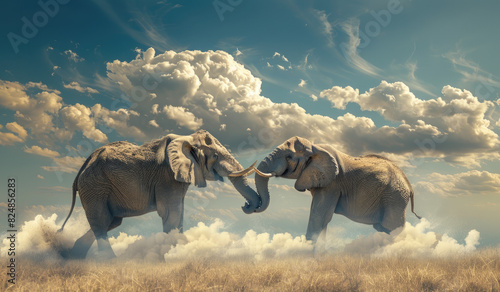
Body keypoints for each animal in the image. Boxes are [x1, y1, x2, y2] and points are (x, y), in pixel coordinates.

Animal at [59, 130, 258, 258]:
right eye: (215, 156)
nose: (247, 205)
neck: (187, 138)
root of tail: (84, 165)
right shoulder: (166, 177)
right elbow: (171, 213)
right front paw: (168, 260)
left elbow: (178, 214)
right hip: (95, 186)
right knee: (101, 221)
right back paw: (110, 261)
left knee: (110, 221)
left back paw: (72, 256)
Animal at [252, 137, 420, 242]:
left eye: (289, 157)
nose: (249, 206)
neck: (315, 147)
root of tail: (409, 186)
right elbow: (322, 218)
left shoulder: (332, 185)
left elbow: (318, 216)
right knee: (384, 229)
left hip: (395, 198)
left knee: (391, 229)